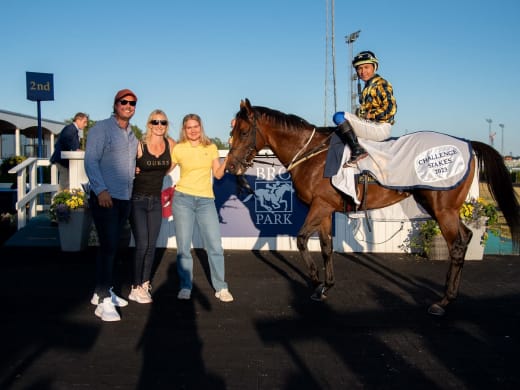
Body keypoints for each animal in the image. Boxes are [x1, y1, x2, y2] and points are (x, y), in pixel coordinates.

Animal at [226, 98, 520, 316]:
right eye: (231, 132)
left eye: (243, 131)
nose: (230, 167)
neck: (310, 154)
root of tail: (467, 143)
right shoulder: (326, 209)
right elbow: (326, 247)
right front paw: (325, 287)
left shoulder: (319, 207)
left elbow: (300, 240)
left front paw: (315, 281)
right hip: (443, 208)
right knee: (466, 236)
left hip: (442, 209)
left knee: (457, 245)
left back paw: (444, 302)